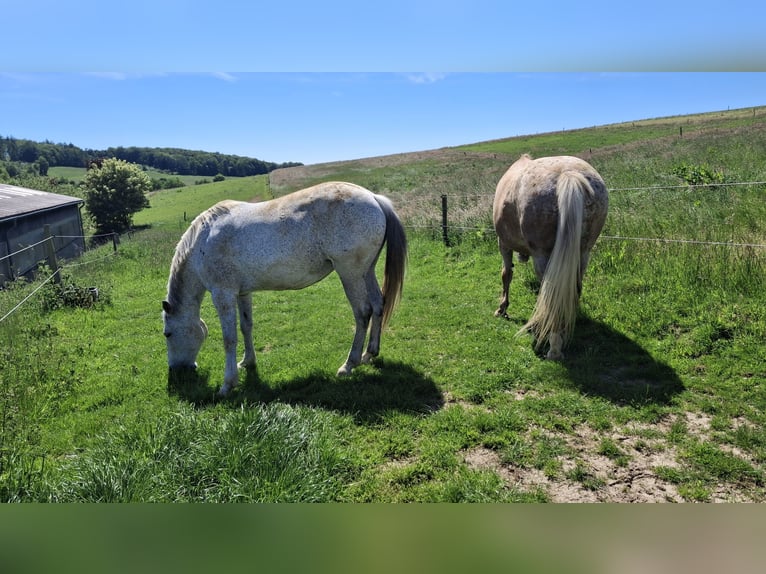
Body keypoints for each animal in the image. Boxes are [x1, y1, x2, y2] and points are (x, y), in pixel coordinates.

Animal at [162, 181, 408, 396]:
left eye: (168, 333)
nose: (175, 370)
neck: (202, 242)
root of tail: (373, 197)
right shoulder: (242, 292)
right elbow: (246, 326)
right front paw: (247, 362)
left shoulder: (223, 294)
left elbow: (229, 338)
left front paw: (227, 384)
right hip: (367, 271)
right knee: (378, 304)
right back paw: (370, 353)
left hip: (351, 274)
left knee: (363, 312)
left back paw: (349, 364)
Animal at [492, 154, 608, 359]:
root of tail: (569, 174)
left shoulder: (503, 244)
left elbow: (506, 274)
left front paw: (502, 308)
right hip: (583, 253)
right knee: (573, 288)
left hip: (542, 255)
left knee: (551, 292)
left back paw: (553, 346)